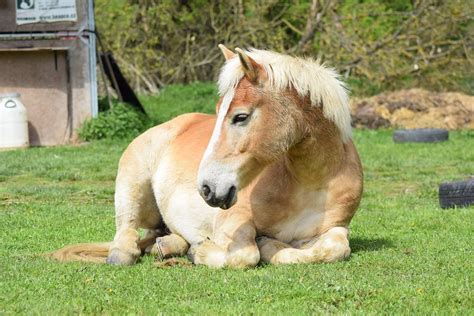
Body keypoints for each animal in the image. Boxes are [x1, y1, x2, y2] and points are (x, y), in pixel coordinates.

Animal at [52, 44, 362, 266]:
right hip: (132, 185)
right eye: (218, 111)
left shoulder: (336, 227)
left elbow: (336, 247)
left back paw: (169, 246)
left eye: (240, 116)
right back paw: (131, 252)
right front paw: (206, 252)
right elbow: (245, 255)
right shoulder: (232, 223)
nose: (207, 188)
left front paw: (272, 245)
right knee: (126, 228)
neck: (308, 182)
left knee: (156, 235)